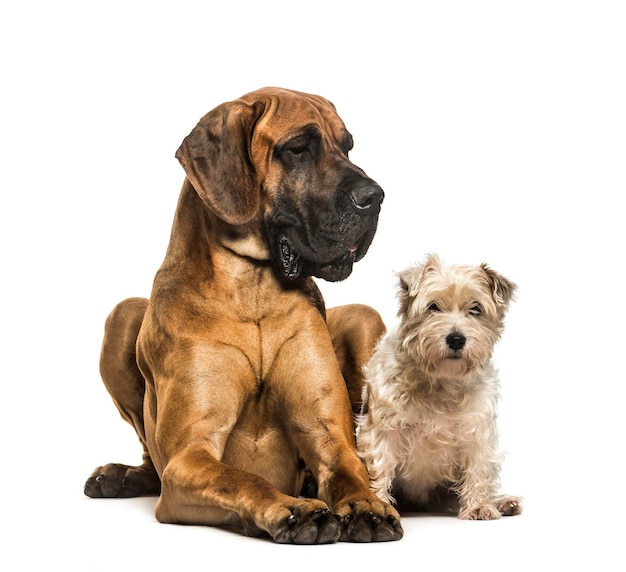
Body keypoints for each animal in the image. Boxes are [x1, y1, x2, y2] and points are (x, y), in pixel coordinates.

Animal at [356, 254, 520, 520]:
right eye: (433, 306)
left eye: (476, 309)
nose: (456, 339)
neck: (442, 381)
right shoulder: (383, 430)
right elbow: (380, 468)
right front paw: (378, 504)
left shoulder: (477, 432)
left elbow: (478, 468)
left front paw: (478, 505)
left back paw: (503, 502)